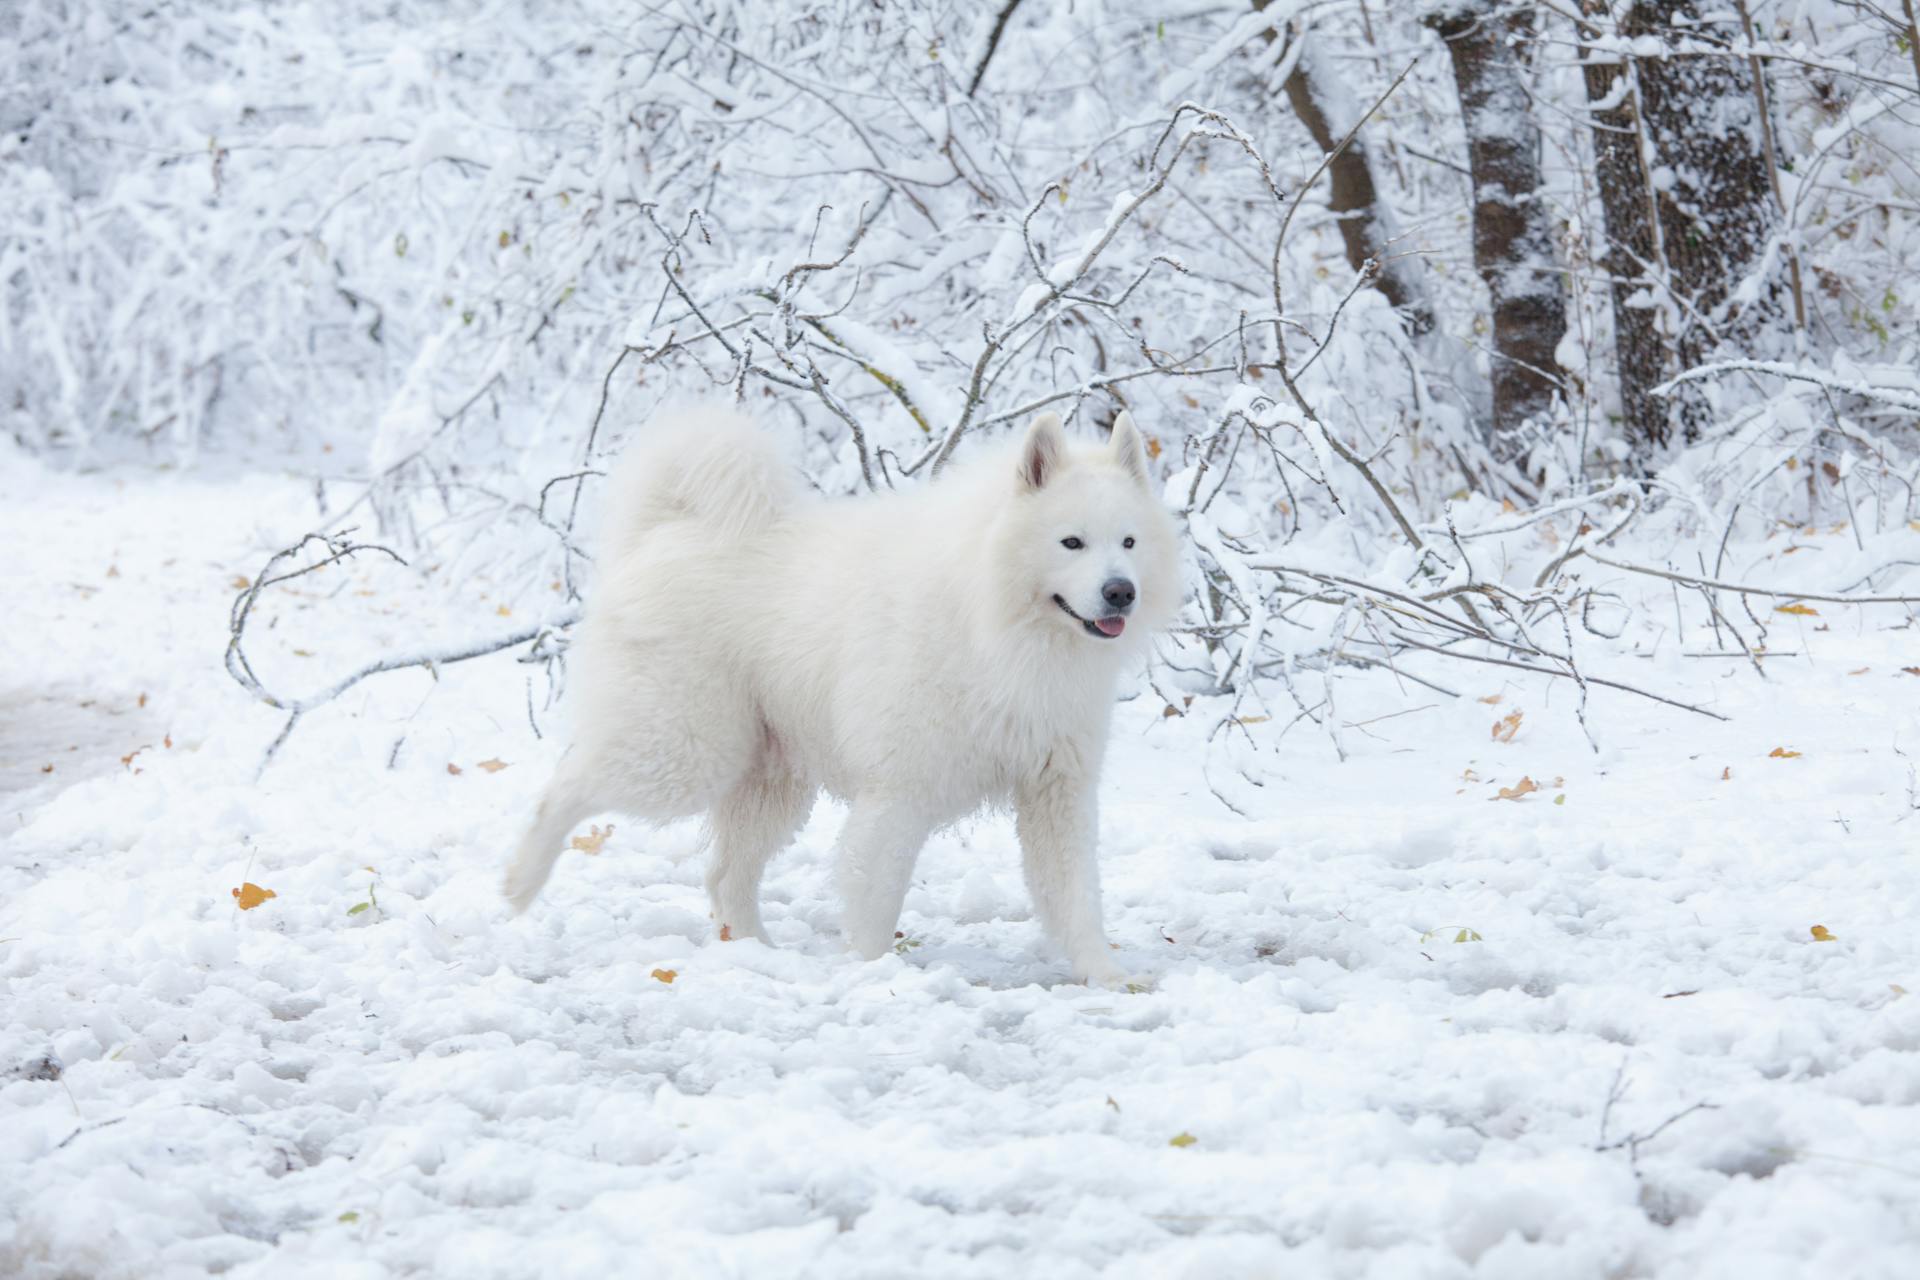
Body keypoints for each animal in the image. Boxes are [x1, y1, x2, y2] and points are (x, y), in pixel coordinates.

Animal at [503, 404, 1175, 990]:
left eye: (1129, 543)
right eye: (1071, 543)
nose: (1120, 592)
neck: (998, 623)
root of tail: (664, 531)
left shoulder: (1055, 790)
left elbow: (1075, 896)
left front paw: (1108, 976)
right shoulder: (900, 793)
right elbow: (877, 896)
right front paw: (875, 974)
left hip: (768, 780)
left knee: (724, 875)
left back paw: (756, 953)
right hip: (686, 751)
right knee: (569, 784)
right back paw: (519, 883)